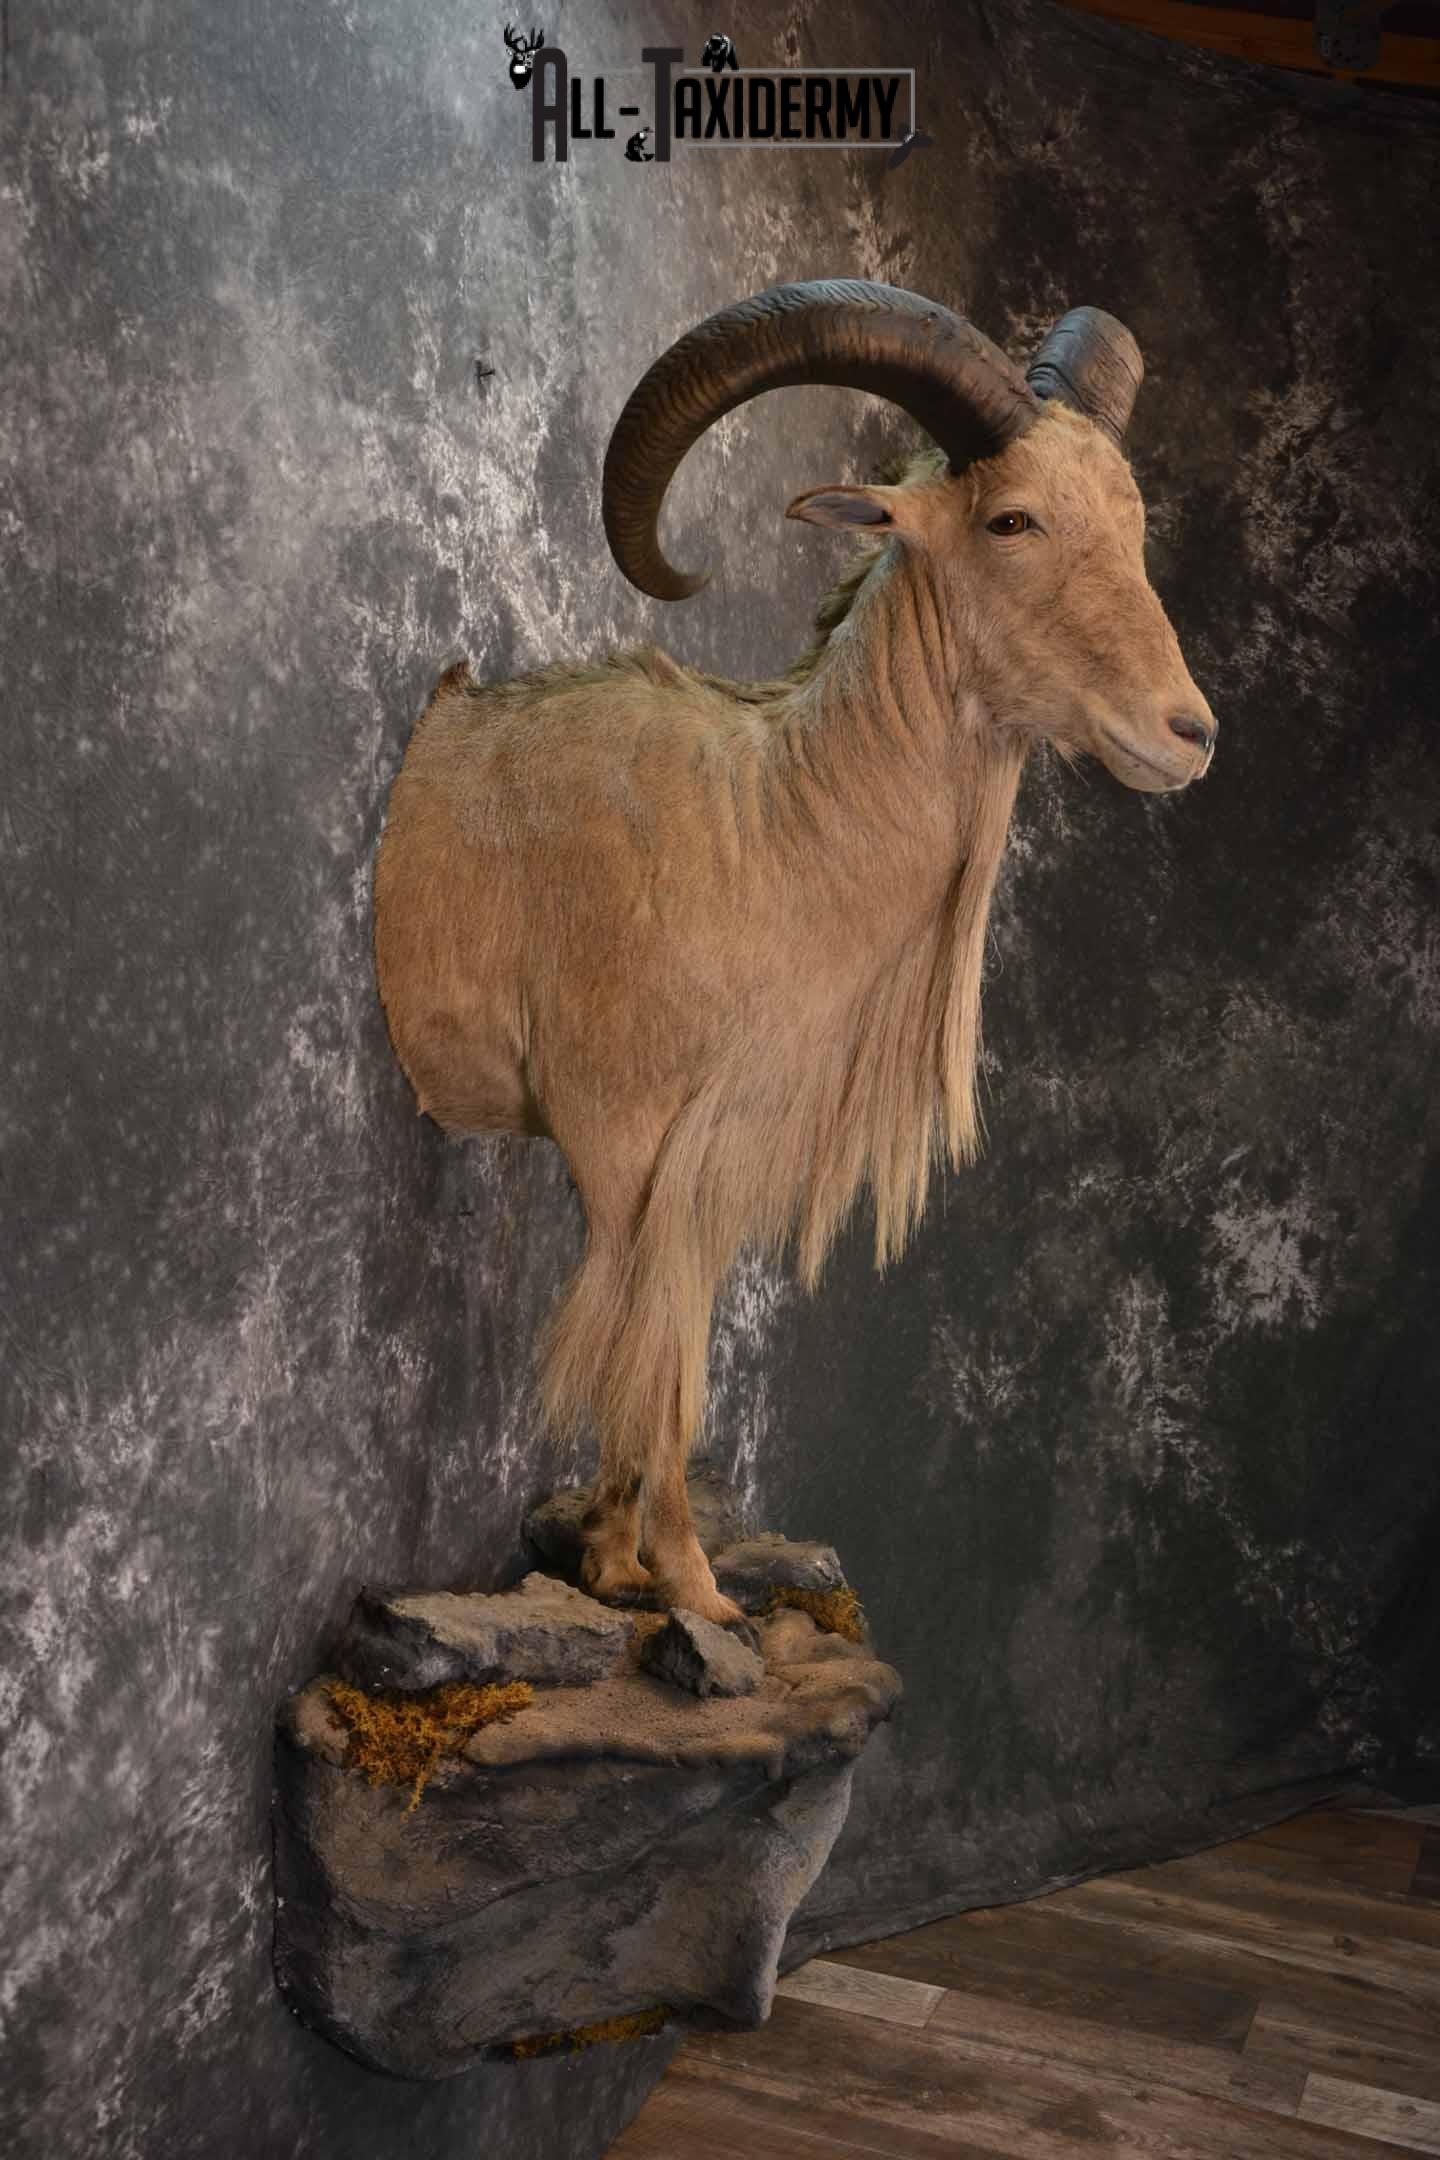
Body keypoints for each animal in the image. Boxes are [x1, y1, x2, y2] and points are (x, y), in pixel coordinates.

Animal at [373, 279, 1215, 1624]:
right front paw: (694, 1589)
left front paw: (620, 1559)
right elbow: (658, 1350)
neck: (760, 836)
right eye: (1014, 519)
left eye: (1131, 524)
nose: (1186, 733)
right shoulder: (623, 1145)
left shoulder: (701, 1171)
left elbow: (673, 1337)